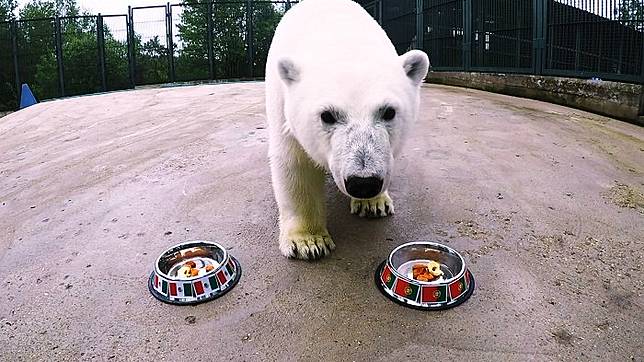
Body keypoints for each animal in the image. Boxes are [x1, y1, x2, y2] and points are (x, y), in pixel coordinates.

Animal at [264, 0, 430, 260]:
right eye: (327, 115)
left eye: (389, 112)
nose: (363, 183)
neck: (341, 36)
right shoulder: (283, 103)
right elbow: (295, 162)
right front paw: (308, 241)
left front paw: (373, 204)